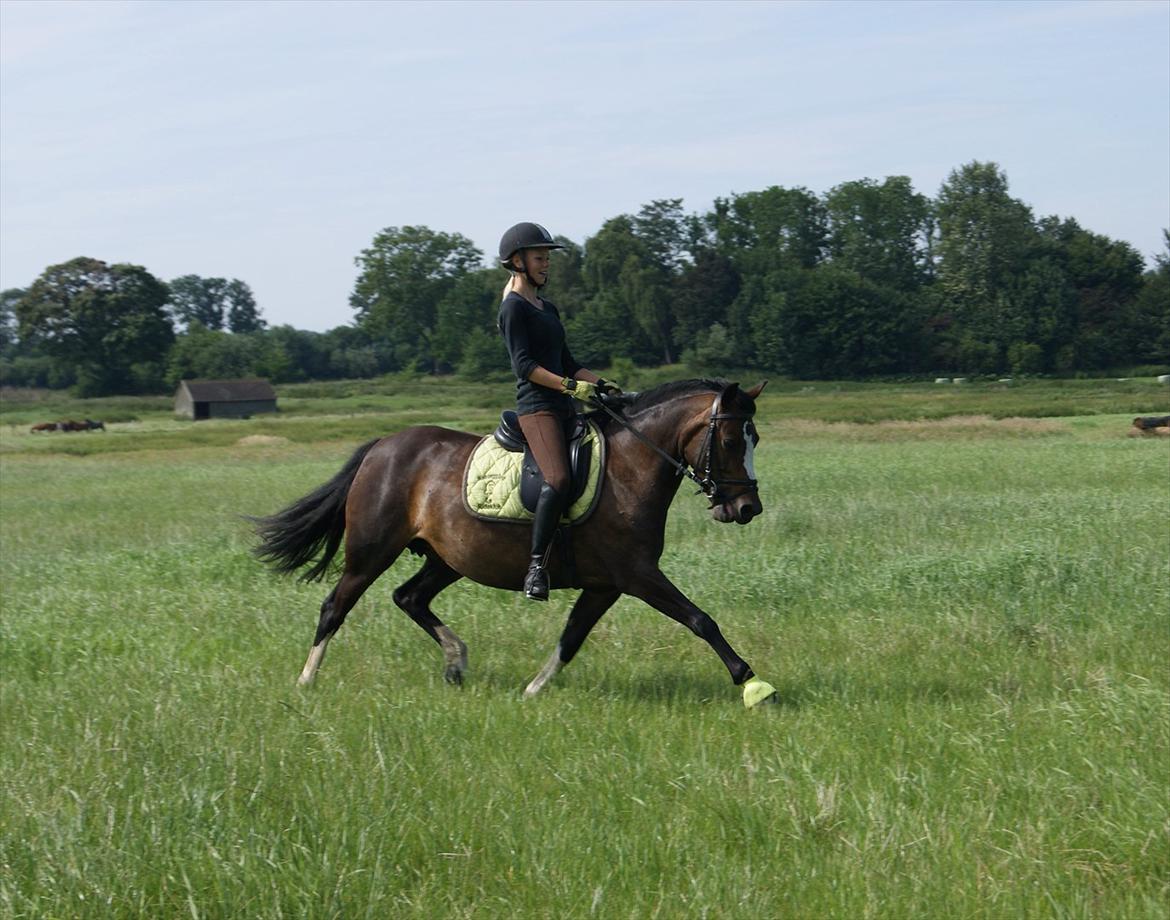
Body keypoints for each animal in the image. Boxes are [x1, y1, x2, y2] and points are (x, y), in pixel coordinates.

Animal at [251, 379, 777, 706]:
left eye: (754, 440)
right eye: (732, 441)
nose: (746, 508)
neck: (631, 467)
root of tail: (381, 446)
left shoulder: (606, 584)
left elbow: (571, 638)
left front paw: (533, 690)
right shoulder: (637, 575)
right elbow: (701, 620)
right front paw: (752, 684)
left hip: (448, 559)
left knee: (409, 597)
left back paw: (456, 662)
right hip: (370, 552)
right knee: (334, 607)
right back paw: (306, 680)